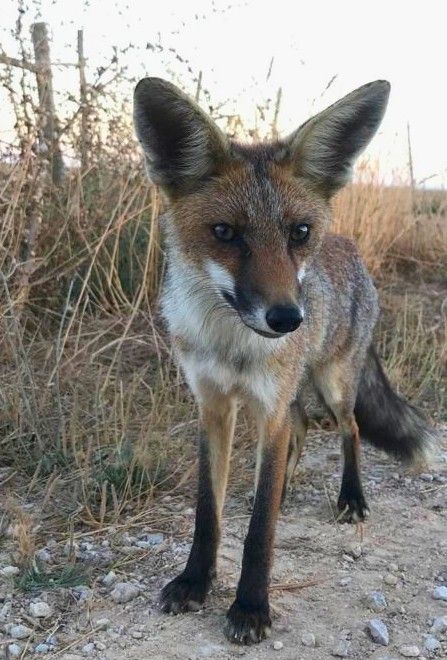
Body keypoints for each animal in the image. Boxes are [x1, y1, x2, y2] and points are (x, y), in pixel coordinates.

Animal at [133, 77, 438, 644]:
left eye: (298, 232)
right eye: (225, 232)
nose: (288, 319)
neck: (233, 346)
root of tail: (350, 248)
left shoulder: (267, 408)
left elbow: (259, 530)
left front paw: (251, 606)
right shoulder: (213, 405)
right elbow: (208, 512)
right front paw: (194, 581)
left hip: (332, 382)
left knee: (349, 430)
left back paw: (351, 497)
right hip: (294, 393)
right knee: (302, 431)